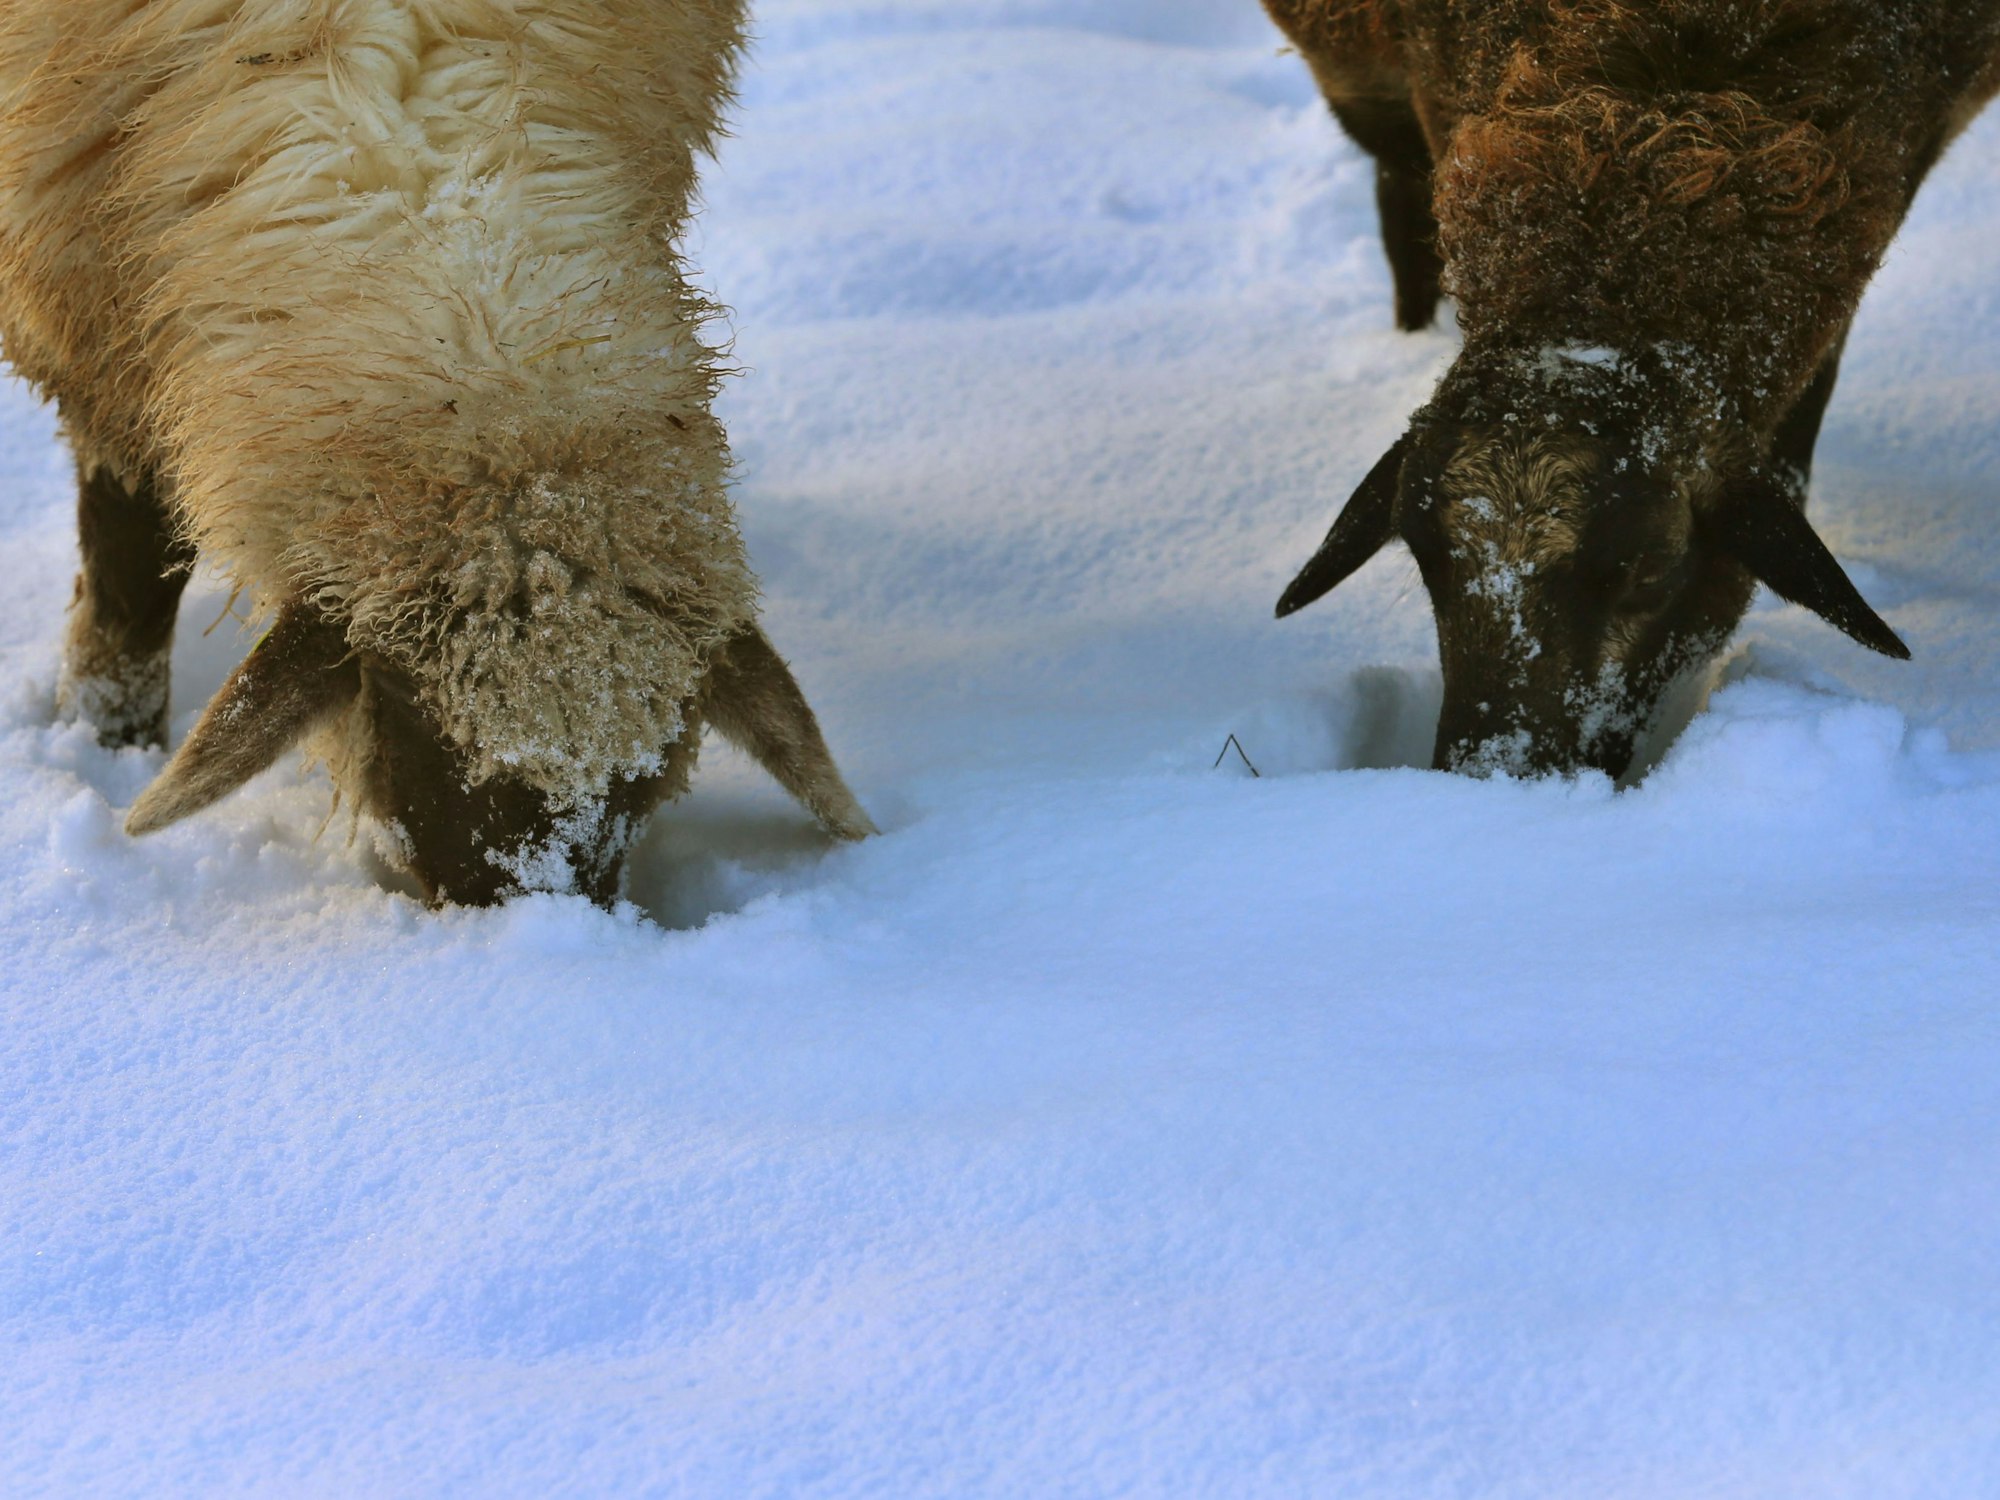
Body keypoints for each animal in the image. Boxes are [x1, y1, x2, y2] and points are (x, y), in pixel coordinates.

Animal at [0, 0, 874, 905]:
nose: (539, 927)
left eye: (648, 768)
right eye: (402, 706)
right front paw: (106, 742)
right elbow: (129, 580)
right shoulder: (90, 317)